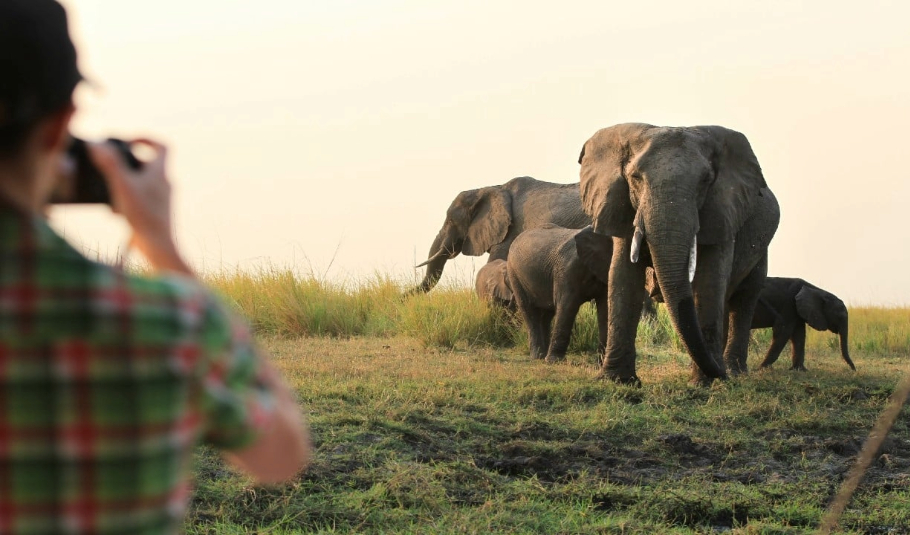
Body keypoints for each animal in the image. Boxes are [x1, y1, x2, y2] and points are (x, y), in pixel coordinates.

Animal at [506, 224, 612, 362]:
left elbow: (605, 309)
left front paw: (600, 363)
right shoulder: (567, 270)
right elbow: (568, 307)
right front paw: (553, 361)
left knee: (546, 315)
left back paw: (543, 356)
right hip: (515, 274)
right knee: (529, 311)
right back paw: (538, 357)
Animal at [580, 124, 780, 386]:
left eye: (705, 181)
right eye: (635, 178)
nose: (719, 374)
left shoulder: (722, 211)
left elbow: (710, 279)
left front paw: (704, 383)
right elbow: (623, 278)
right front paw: (617, 381)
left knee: (744, 299)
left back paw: (732, 370)